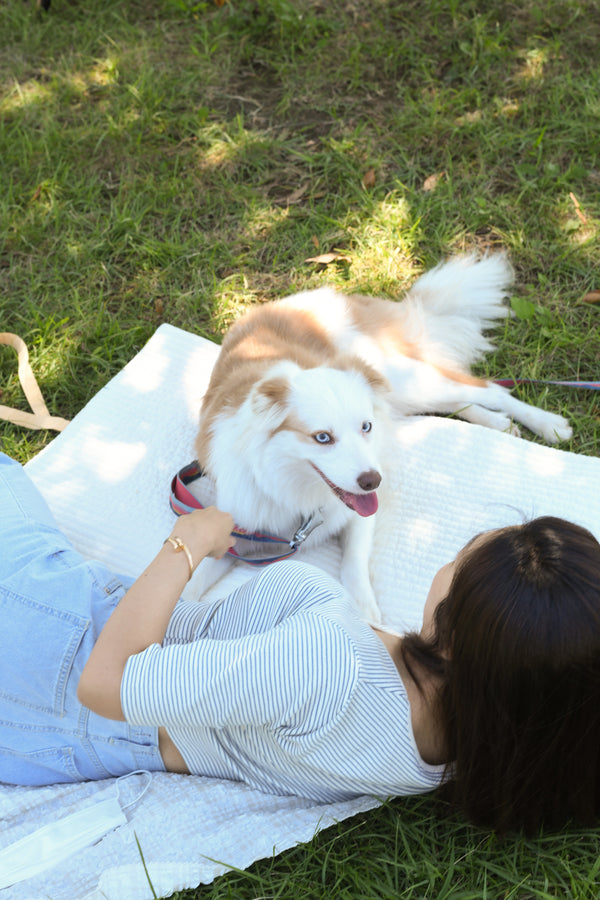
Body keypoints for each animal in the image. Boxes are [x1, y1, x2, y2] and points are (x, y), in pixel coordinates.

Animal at [189, 253, 572, 620]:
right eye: (322, 438)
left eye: (365, 427)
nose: (373, 481)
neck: (296, 491)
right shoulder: (236, 531)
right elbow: (193, 577)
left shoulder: (359, 513)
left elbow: (354, 563)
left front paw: (363, 611)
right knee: (462, 401)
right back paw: (499, 424)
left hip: (409, 381)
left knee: (489, 388)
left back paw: (548, 423)